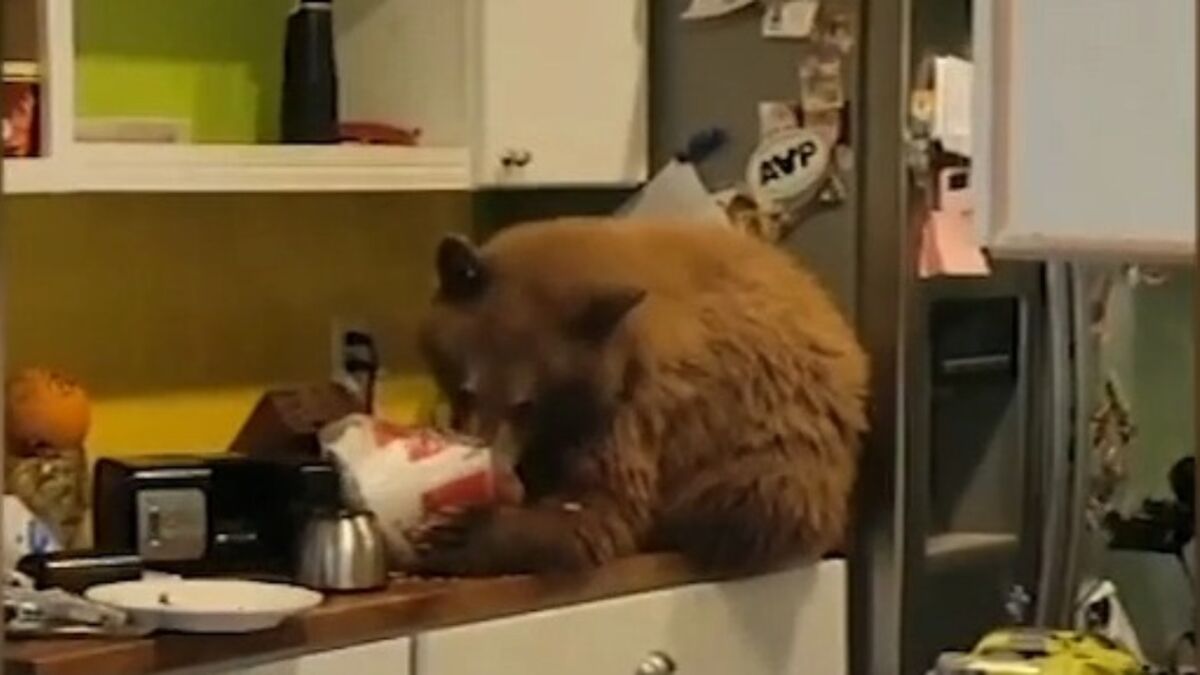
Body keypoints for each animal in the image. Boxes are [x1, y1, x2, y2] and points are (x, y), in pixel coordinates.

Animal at [408, 218, 868, 576]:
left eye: (526, 403)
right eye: (466, 389)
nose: (500, 474)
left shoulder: (633, 410)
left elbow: (602, 512)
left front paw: (460, 531)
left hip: (776, 449)